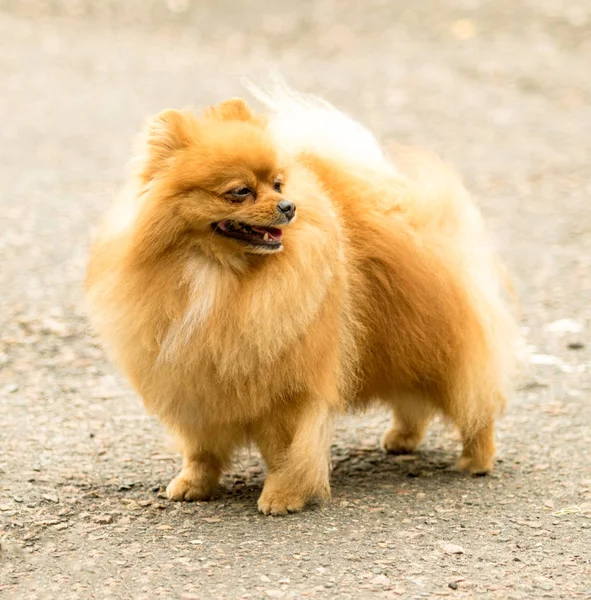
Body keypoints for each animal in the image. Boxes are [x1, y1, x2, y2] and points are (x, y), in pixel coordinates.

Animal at [85, 85, 516, 516]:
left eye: (278, 184)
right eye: (240, 191)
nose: (288, 206)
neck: (218, 275)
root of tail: (403, 202)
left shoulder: (289, 389)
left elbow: (287, 452)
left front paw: (282, 496)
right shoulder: (195, 385)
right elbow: (201, 449)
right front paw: (193, 484)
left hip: (442, 349)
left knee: (475, 405)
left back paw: (477, 459)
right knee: (413, 399)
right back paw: (402, 438)